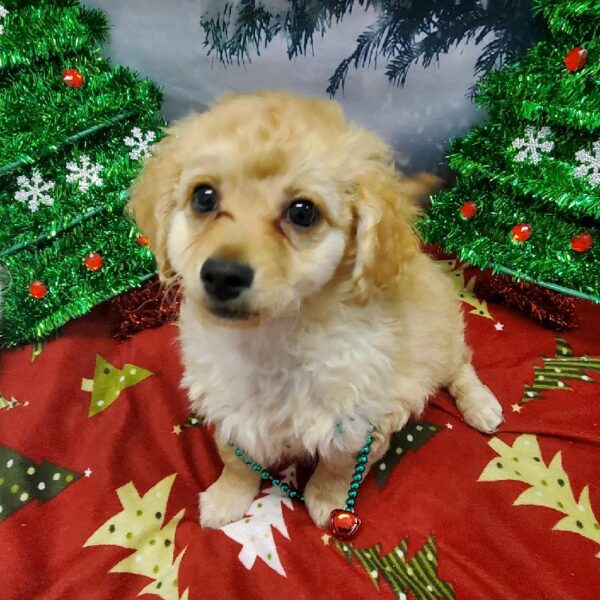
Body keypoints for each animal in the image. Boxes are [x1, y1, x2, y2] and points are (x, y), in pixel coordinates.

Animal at [129, 90, 504, 528]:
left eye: (302, 212)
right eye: (203, 197)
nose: (222, 275)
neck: (271, 340)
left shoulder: (360, 419)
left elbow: (339, 464)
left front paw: (328, 499)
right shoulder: (228, 407)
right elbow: (235, 459)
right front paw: (228, 497)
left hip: (438, 337)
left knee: (460, 363)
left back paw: (480, 404)